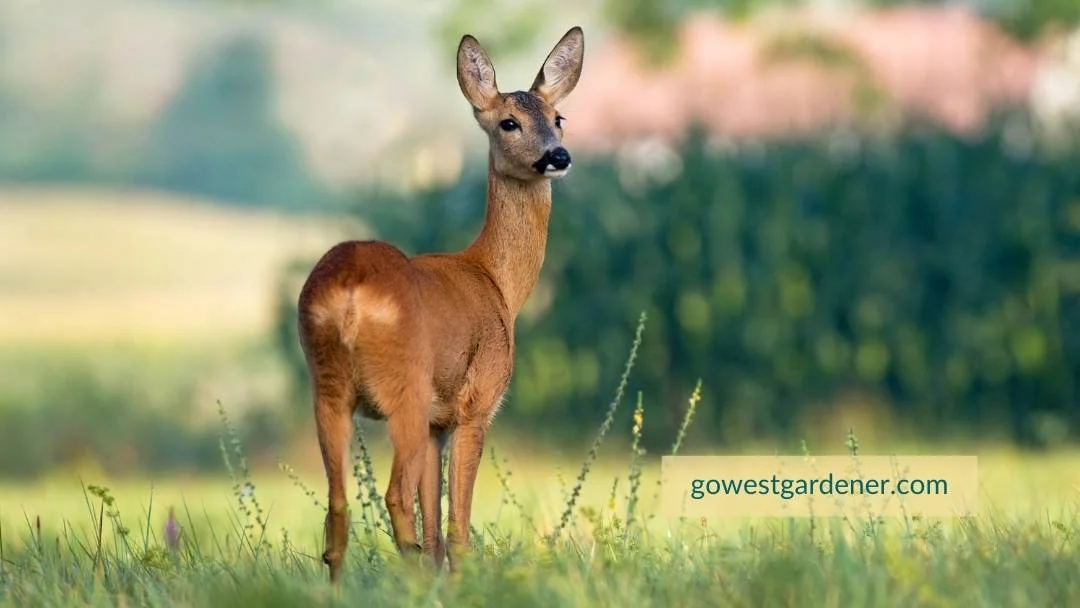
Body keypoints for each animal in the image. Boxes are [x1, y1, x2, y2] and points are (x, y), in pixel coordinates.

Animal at [296, 26, 585, 583]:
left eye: (558, 118)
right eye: (508, 122)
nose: (557, 156)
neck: (496, 280)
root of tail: (349, 293)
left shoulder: (437, 424)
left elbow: (434, 527)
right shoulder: (476, 405)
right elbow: (456, 529)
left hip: (327, 387)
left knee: (337, 509)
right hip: (403, 387)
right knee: (393, 497)